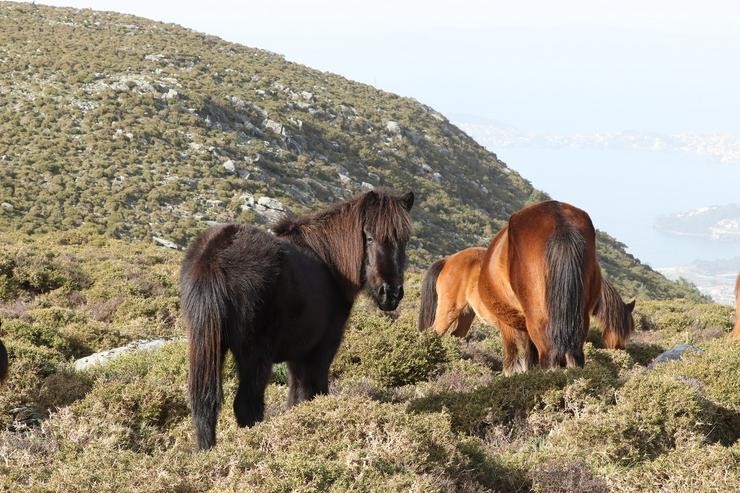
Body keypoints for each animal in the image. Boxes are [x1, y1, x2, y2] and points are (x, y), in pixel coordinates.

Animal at [179, 189, 414, 450]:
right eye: (369, 237)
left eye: (404, 240)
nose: (390, 294)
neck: (329, 261)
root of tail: (215, 256)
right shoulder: (320, 350)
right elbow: (314, 393)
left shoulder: (297, 356)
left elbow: (295, 398)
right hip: (255, 356)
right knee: (247, 406)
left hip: (208, 346)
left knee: (204, 405)